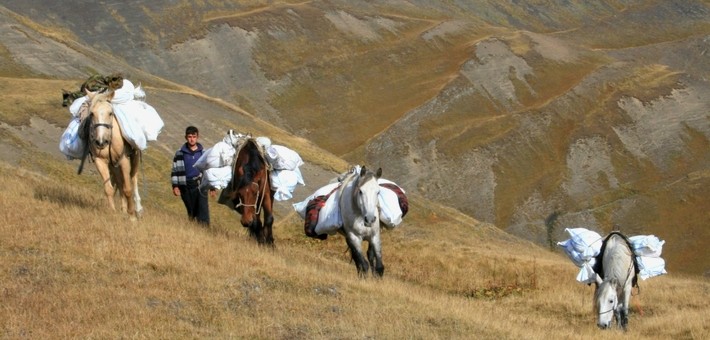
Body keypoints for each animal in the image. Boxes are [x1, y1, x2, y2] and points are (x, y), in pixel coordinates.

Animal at [85, 89, 143, 220]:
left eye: (110, 113)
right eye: (92, 113)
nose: (101, 142)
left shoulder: (123, 160)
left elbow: (128, 188)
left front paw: (132, 216)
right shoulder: (100, 161)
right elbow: (109, 189)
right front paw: (113, 212)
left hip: (134, 158)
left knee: (133, 178)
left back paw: (137, 209)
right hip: (113, 165)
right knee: (119, 182)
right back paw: (123, 209)